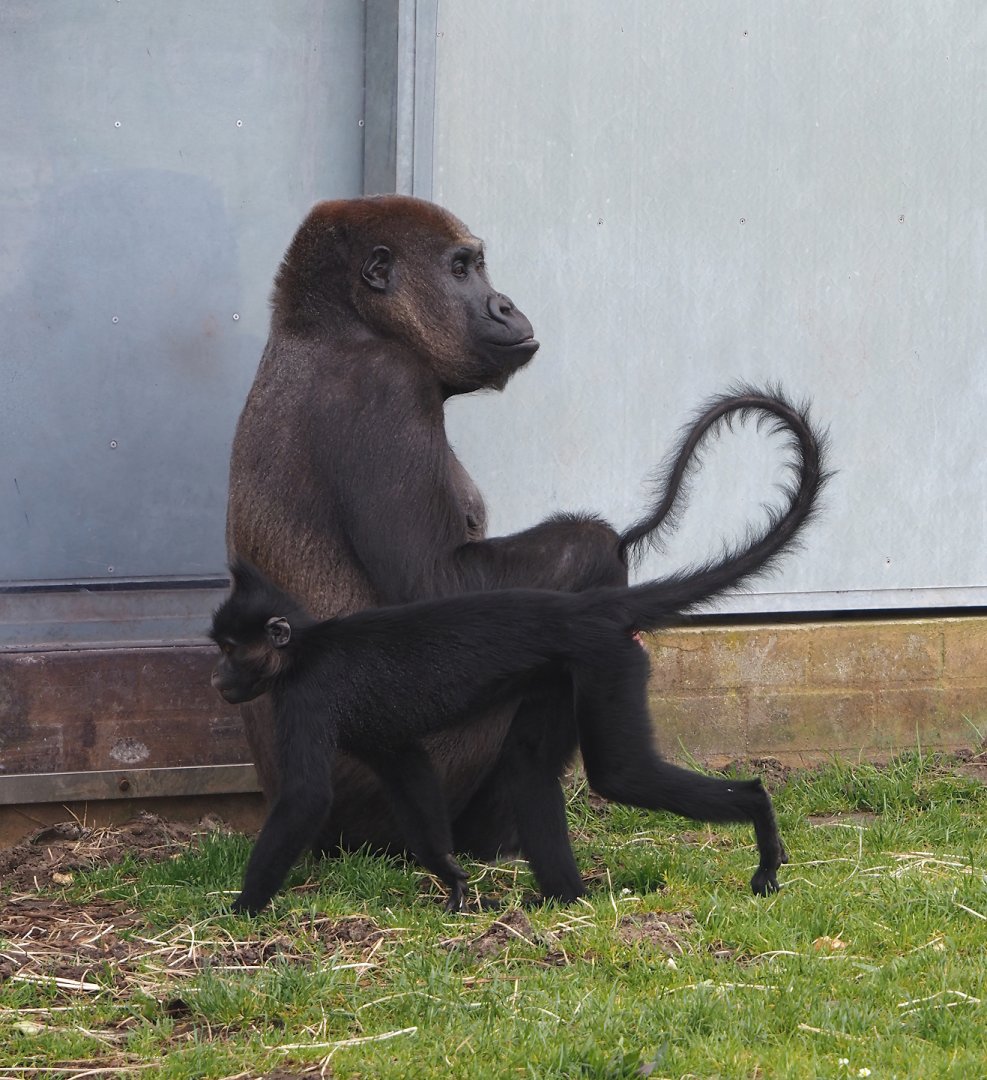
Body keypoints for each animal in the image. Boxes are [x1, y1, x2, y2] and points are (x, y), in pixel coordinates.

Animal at [215, 387, 827, 914]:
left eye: (230, 649)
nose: (220, 680)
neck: (306, 647)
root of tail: (587, 608)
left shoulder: (306, 694)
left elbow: (306, 798)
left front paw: (241, 911)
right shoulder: (368, 728)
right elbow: (408, 768)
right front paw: (452, 876)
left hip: (609, 664)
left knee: (620, 773)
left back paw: (755, 805)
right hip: (565, 673)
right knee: (529, 767)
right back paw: (566, 898)